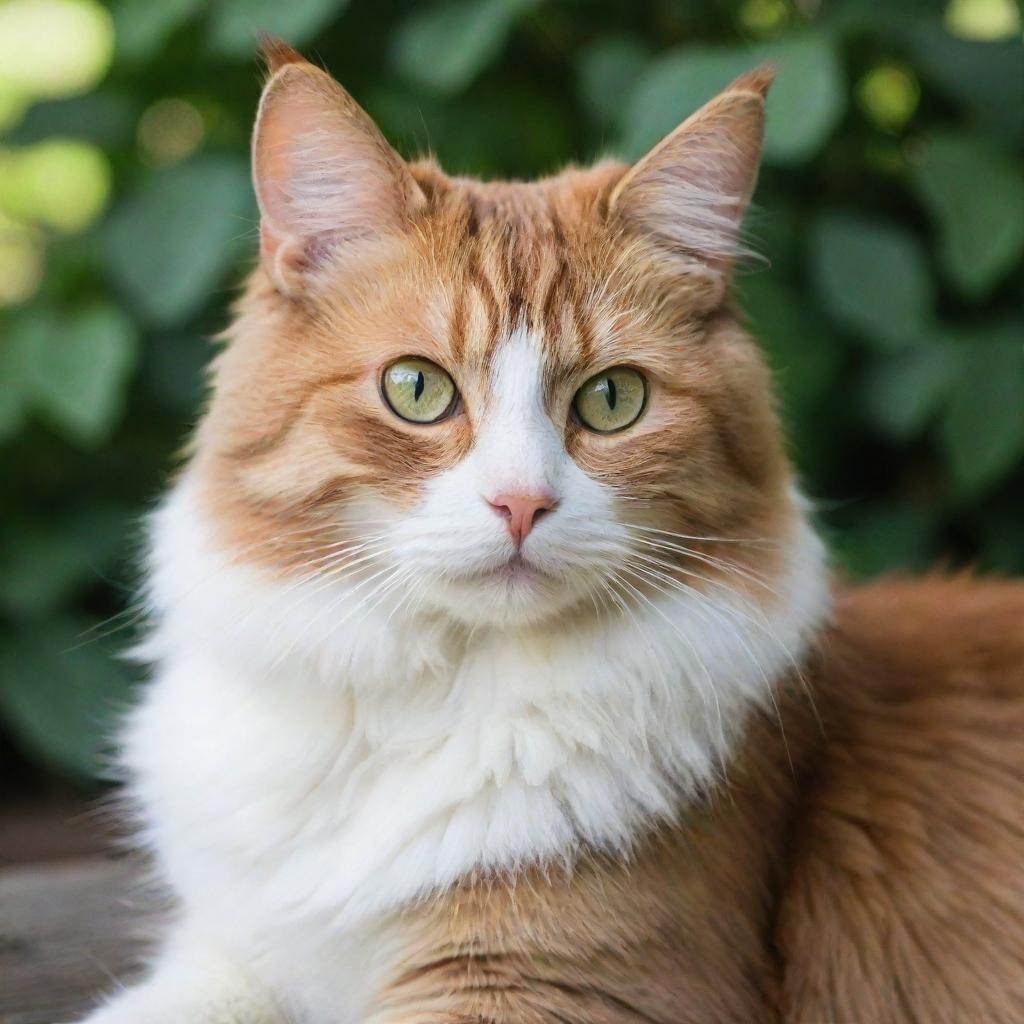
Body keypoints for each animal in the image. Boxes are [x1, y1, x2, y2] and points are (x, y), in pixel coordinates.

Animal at [77, 37, 1024, 1024]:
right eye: (416, 388)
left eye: (612, 400)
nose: (521, 503)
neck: (432, 702)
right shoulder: (233, 954)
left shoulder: (554, 984)